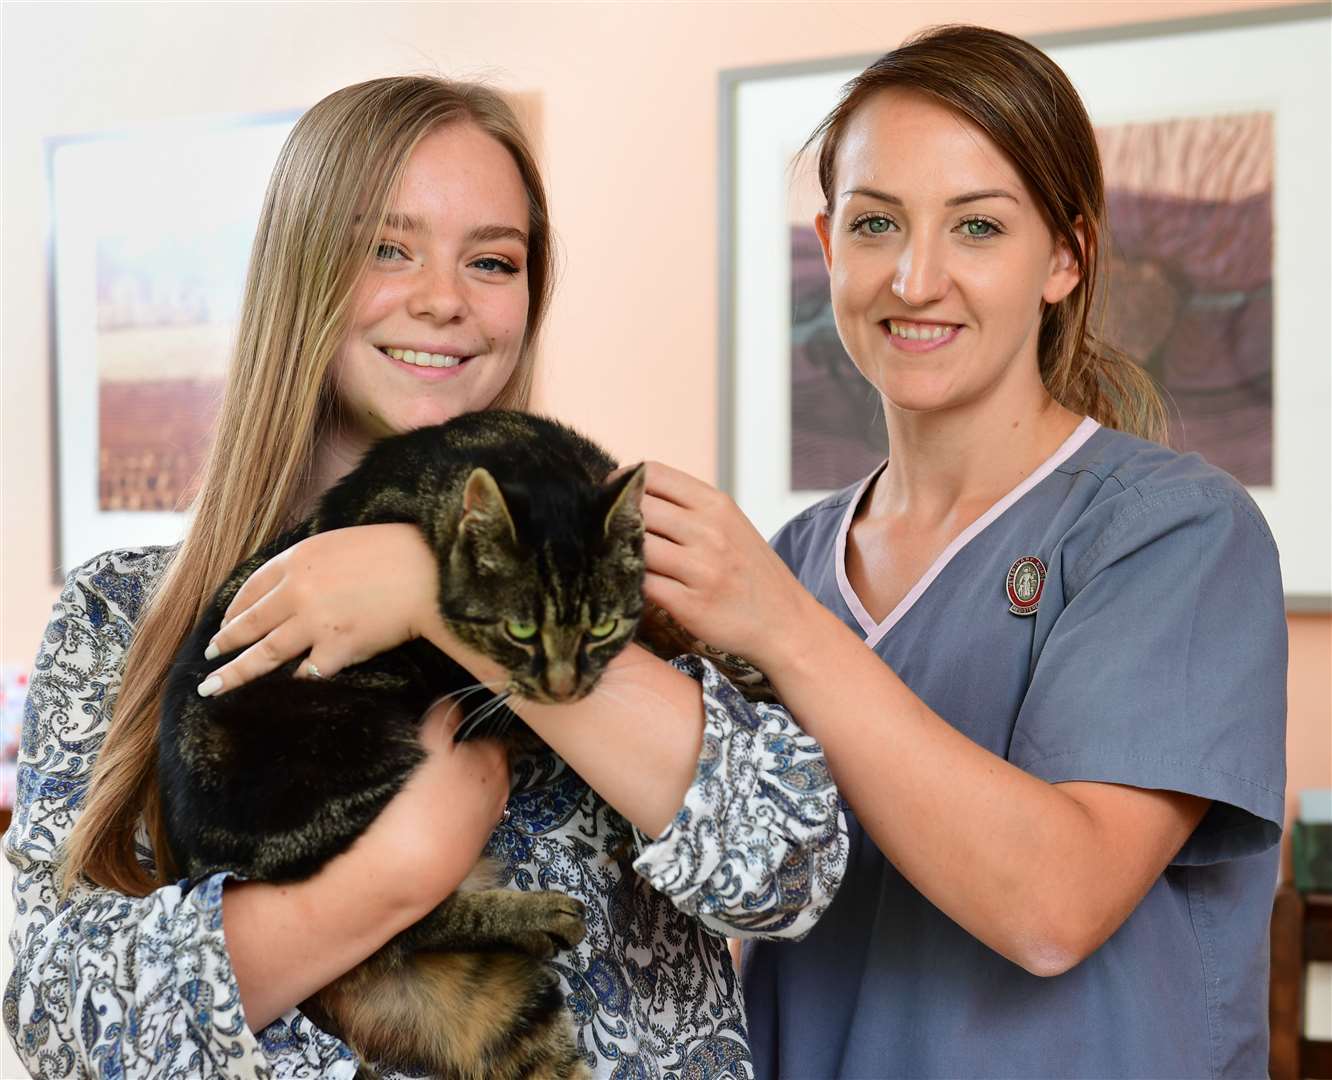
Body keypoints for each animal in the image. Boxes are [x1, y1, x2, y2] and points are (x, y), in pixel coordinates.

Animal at [155, 410, 650, 1076]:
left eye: (601, 626)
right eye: (519, 630)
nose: (565, 687)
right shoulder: (477, 690)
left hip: (509, 1009)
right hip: (364, 751)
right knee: (399, 919)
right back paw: (543, 916)